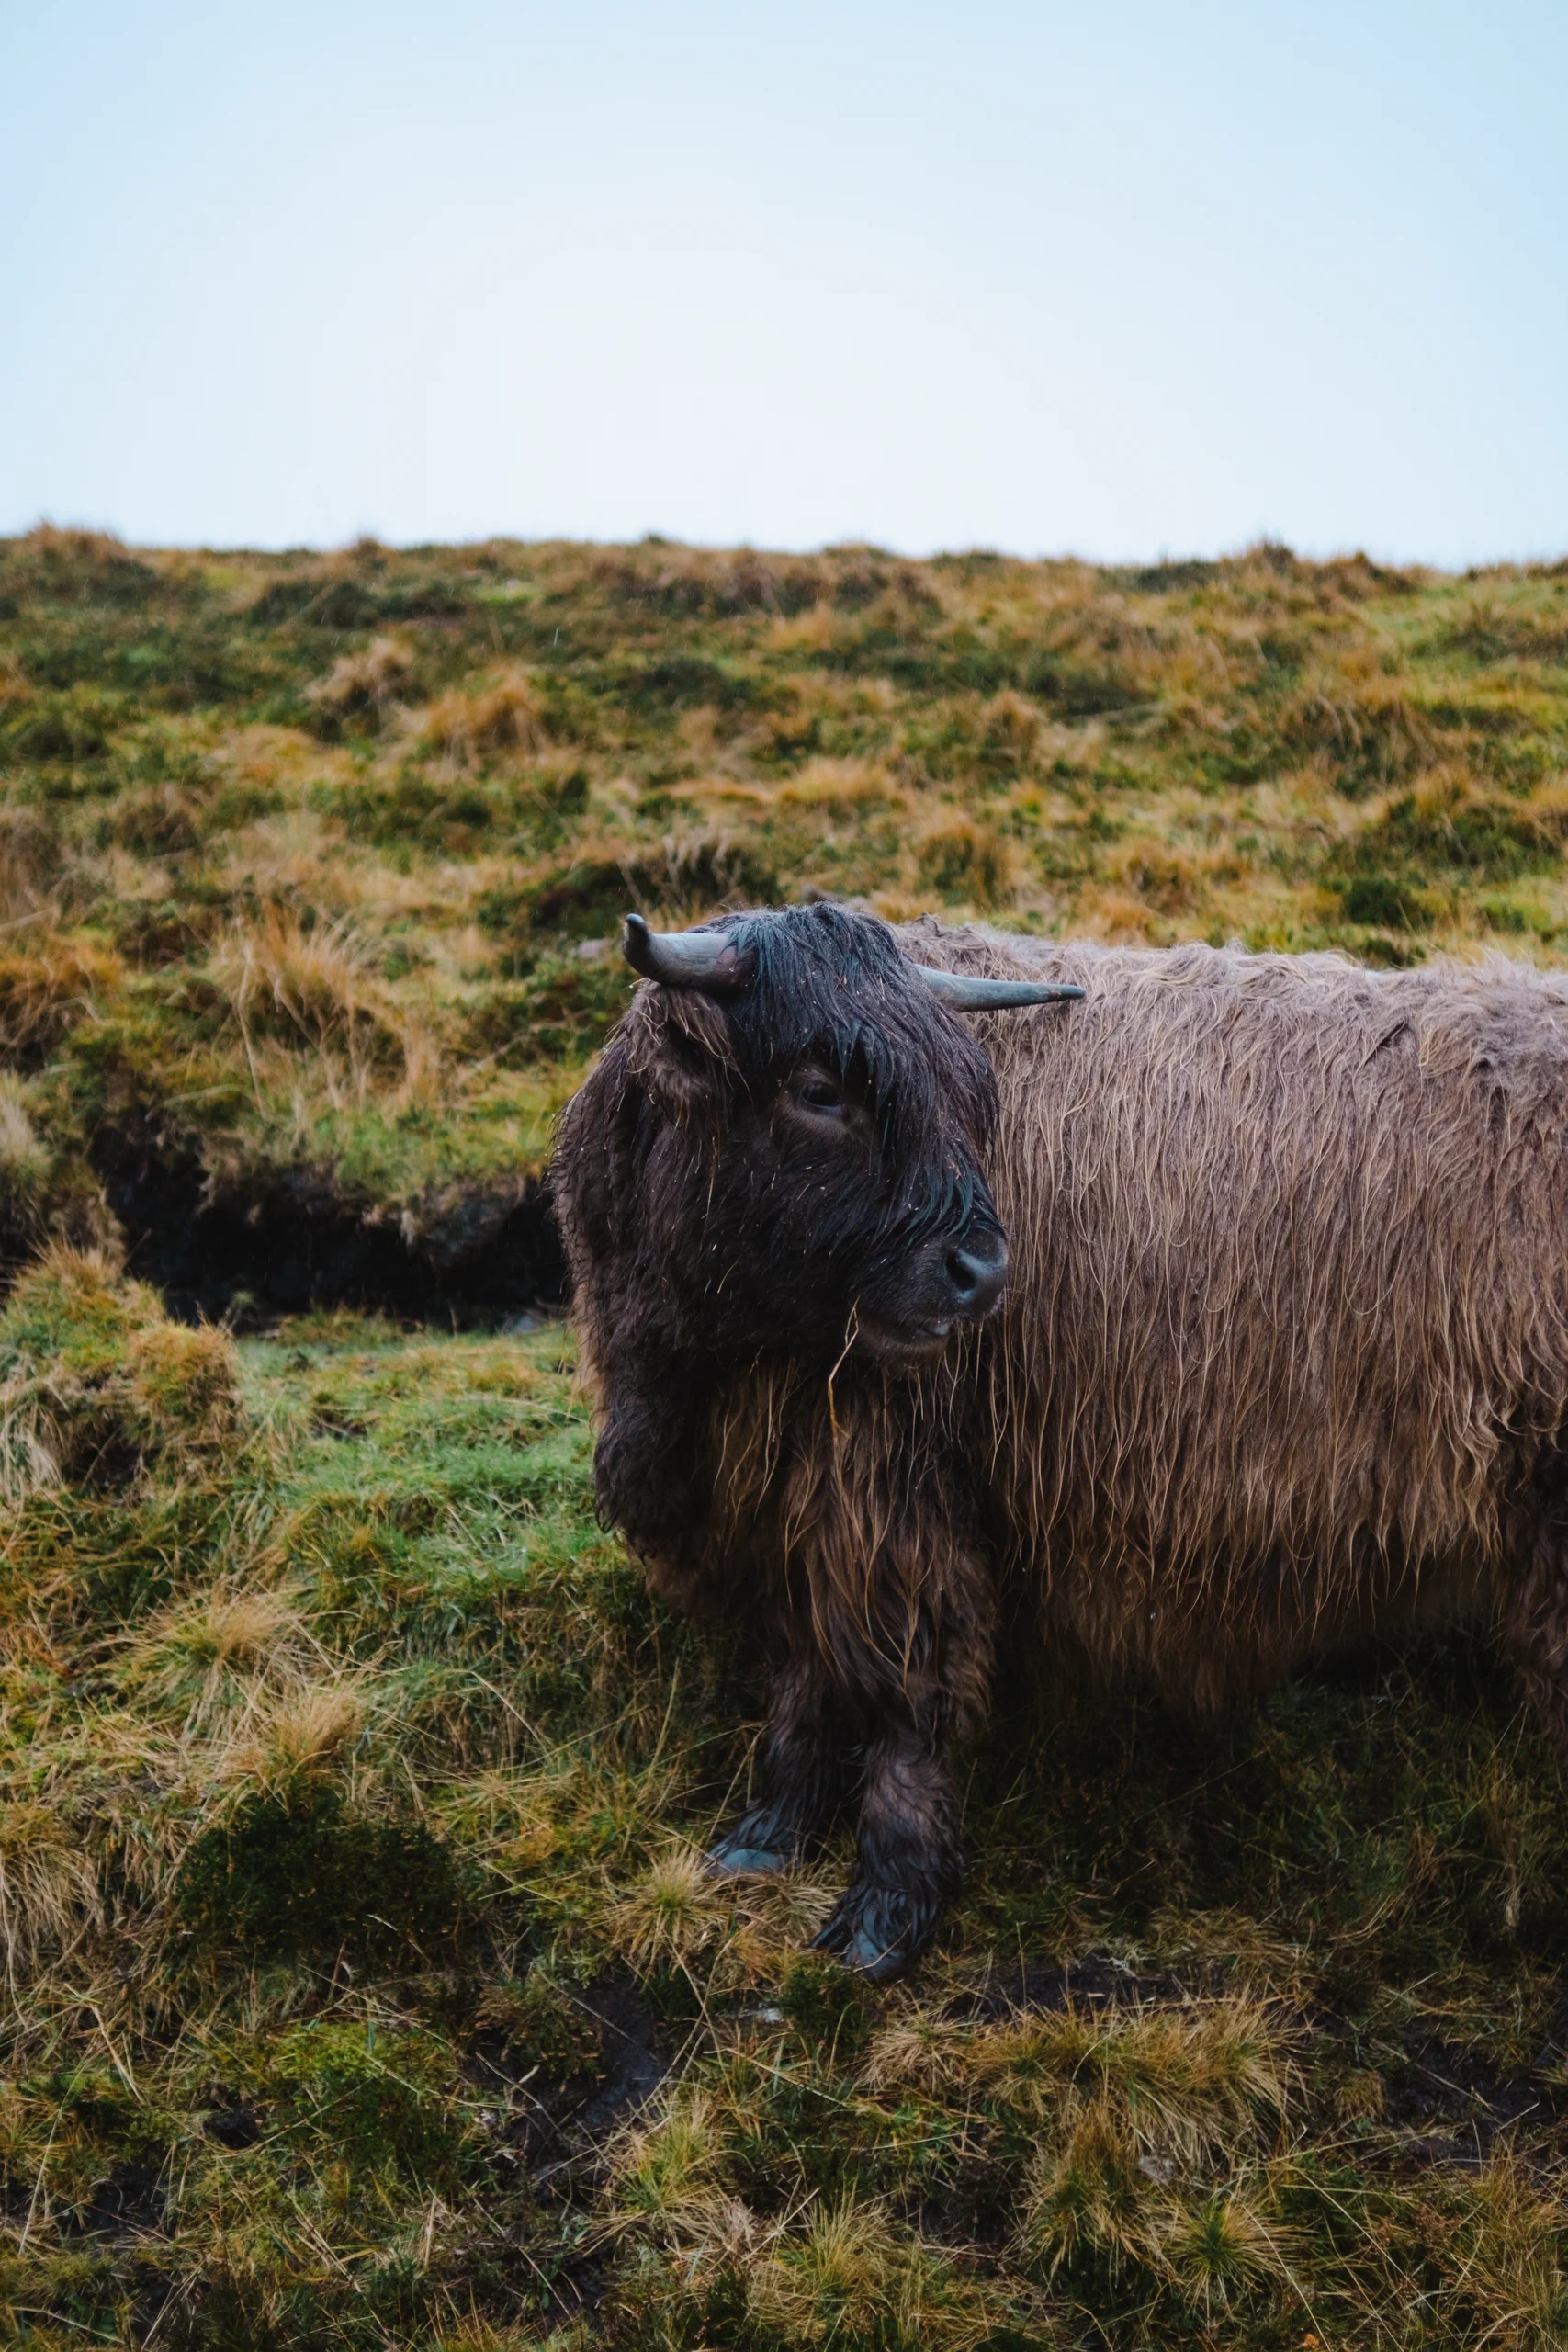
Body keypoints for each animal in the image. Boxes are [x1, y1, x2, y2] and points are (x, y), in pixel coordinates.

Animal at [550, 901, 1568, 1978]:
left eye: (970, 1096)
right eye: (819, 1089)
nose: (981, 1272)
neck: (693, 1381)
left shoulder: (898, 1496)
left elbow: (910, 1698)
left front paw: (885, 1905)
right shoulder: (788, 1511)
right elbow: (803, 1680)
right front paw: (767, 1836)